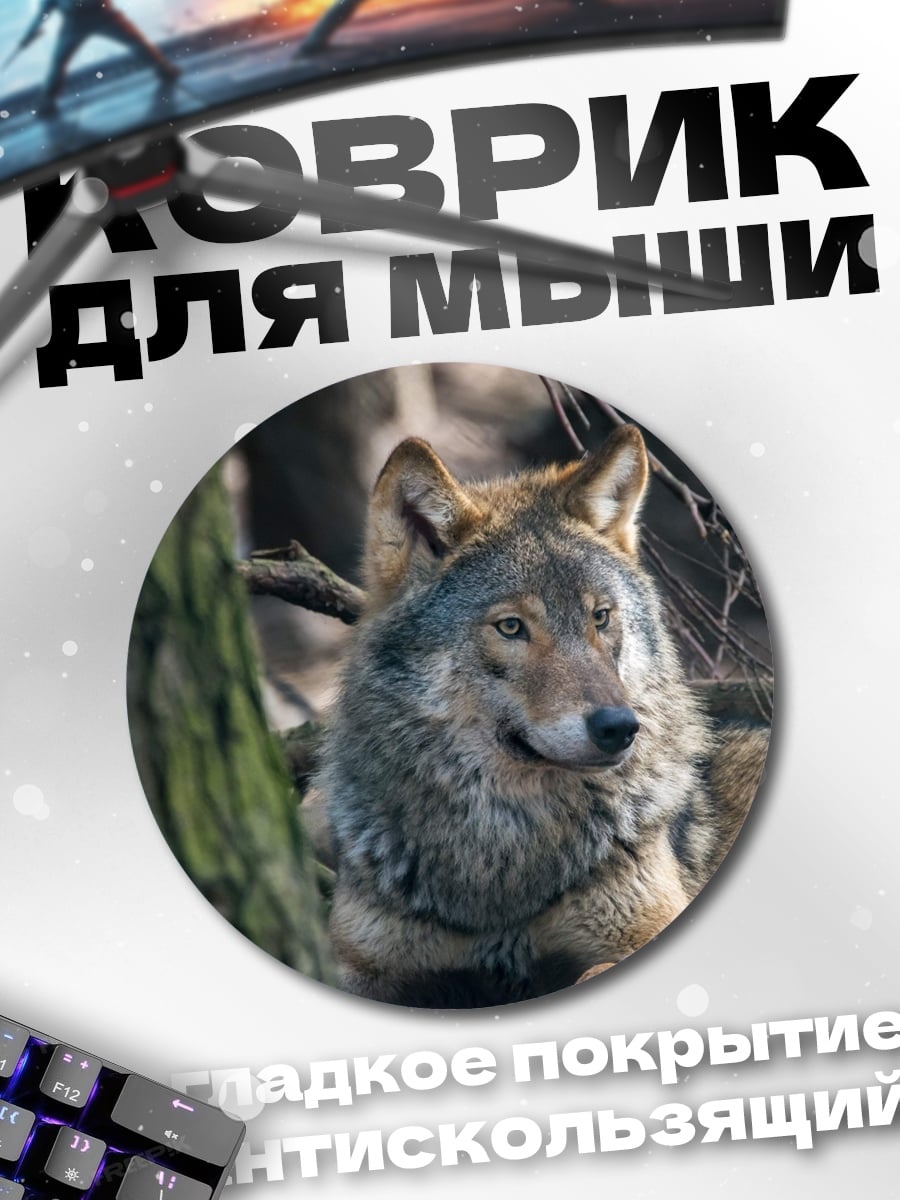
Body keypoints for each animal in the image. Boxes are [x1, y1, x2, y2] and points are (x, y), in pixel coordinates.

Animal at [311, 426, 769, 1007]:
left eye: (601, 617)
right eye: (511, 627)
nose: (619, 727)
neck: (507, 856)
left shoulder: (650, 924)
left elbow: (591, 971)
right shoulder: (358, 962)